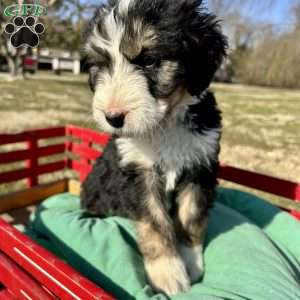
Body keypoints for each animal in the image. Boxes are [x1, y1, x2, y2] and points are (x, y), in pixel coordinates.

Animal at [81, 0, 226, 296]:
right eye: (101, 65)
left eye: (149, 61)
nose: (113, 117)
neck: (164, 126)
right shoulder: (137, 174)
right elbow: (155, 225)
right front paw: (168, 274)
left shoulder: (199, 166)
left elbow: (192, 218)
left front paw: (191, 263)